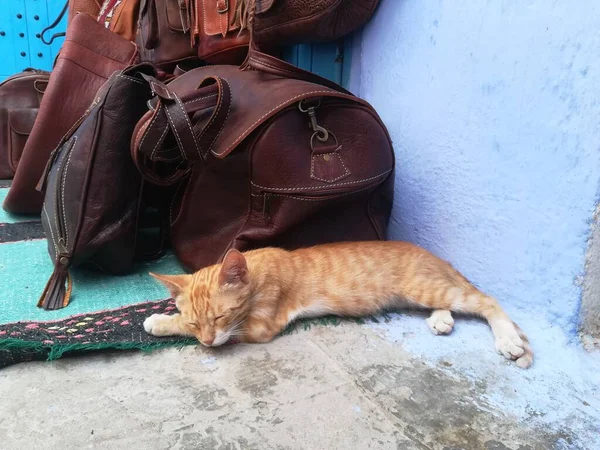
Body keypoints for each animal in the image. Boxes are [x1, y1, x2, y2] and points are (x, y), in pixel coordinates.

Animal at [145, 241, 536, 368]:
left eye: (221, 316)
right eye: (197, 324)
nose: (207, 341)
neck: (256, 269)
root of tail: (431, 254)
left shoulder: (260, 326)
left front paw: (158, 322)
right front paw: (167, 318)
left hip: (423, 286)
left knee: (486, 300)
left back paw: (508, 339)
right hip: (424, 291)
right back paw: (441, 319)